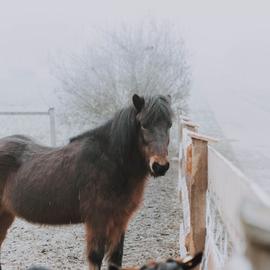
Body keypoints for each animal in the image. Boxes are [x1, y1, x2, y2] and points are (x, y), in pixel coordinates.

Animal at [0, 94, 173, 270]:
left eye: (169, 125)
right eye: (143, 125)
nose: (160, 166)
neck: (111, 161)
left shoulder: (120, 221)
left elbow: (116, 258)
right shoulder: (97, 220)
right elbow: (96, 257)